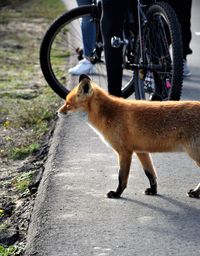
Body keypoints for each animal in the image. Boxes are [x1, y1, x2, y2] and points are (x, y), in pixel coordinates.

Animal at [57, 74, 200, 198]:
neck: (109, 115)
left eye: (68, 105)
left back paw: (196, 193)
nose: (57, 112)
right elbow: (150, 173)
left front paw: (117, 194)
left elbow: (122, 177)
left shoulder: (124, 151)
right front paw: (153, 190)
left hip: (194, 153)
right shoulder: (141, 151)